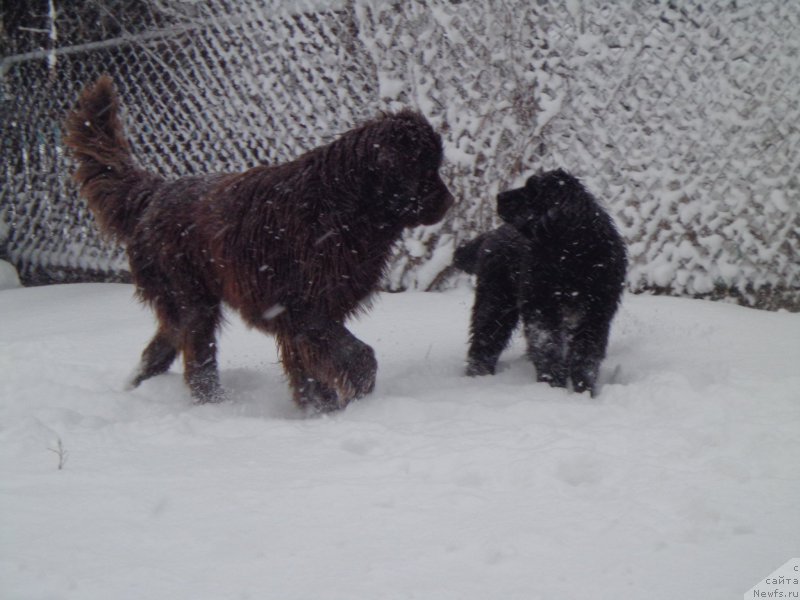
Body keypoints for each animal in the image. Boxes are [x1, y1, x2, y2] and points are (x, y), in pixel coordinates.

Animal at [65, 76, 454, 412]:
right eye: (424, 167)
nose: (450, 200)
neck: (345, 205)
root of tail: (156, 192)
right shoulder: (302, 309)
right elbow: (355, 356)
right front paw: (344, 399)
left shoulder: (308, 314)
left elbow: (308, 368)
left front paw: (319, 409)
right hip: (191, 299)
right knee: (198, 360)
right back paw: (214, 405)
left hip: (182, 302)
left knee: (160, 348)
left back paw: (137, 387)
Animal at [454, 170, 628, 394]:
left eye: (532, 191)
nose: (499, 196)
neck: (572, 255)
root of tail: (493, 234)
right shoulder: (542, 310)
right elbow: (548, 349)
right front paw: (553, 387)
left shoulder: (595, 315)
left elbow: (585, 357)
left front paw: (583, 391)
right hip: (495, 302)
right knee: (485, 339)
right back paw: (479, 377)